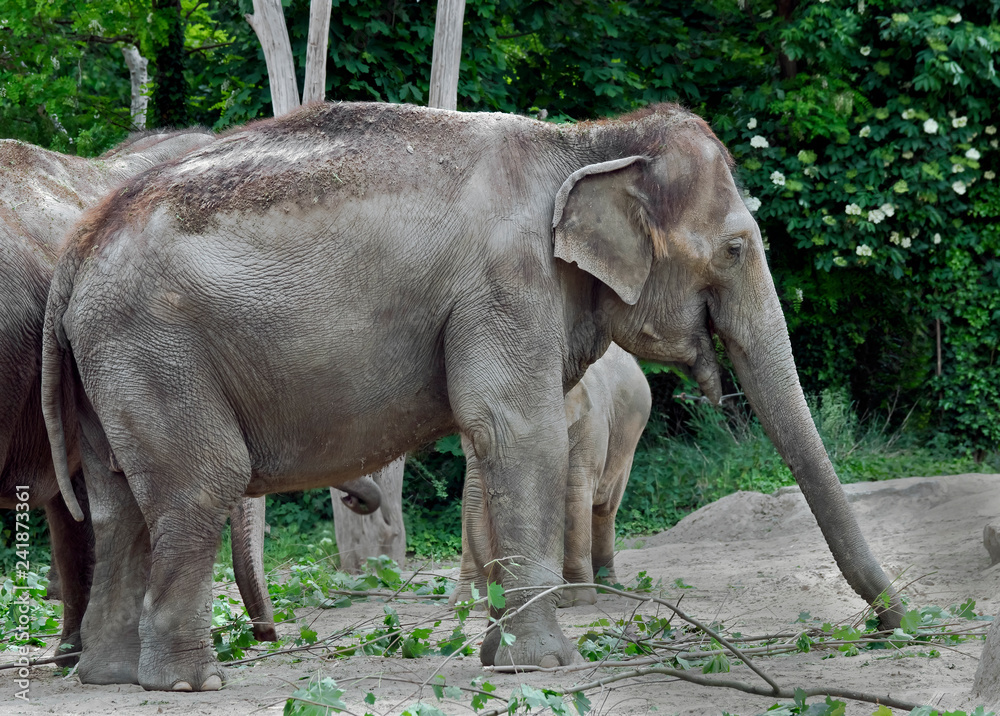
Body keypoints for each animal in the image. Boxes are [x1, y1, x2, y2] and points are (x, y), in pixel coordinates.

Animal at [450, 342, 651, 609]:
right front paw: (466, 602)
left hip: (628, 444)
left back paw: (607, 586)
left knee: (605, 509)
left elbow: (574, 493)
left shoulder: (590, 425)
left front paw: (575, 598)